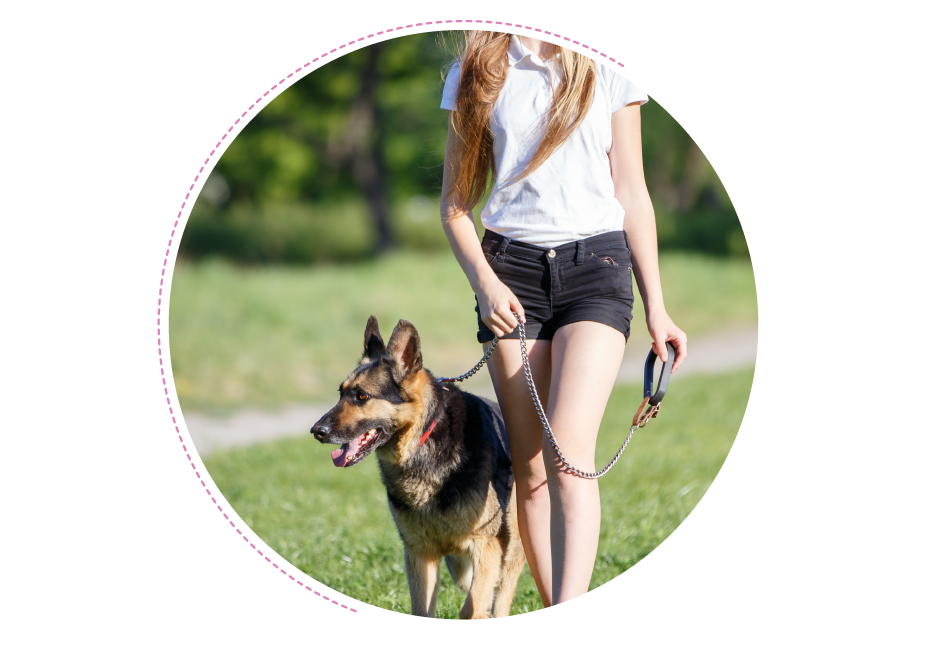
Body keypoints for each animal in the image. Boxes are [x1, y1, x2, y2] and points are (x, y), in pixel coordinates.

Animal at [312, 318, 524, 624]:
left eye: (362, 396)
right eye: (341, 394)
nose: (317, 431)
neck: (424, 439)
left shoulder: (486, 546)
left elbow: (471, 609)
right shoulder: (420, 553)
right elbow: (423, 610)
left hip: (510, 549)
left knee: (501, 595)